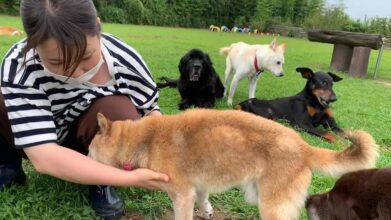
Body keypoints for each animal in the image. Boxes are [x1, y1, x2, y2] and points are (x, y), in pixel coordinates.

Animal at [89, 109, 380, 219]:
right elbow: (204, 198)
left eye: (90, 149)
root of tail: (303, 146)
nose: (85, 155)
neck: (144, 140)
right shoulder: (197, 185)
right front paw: (207, 210)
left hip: (271, 206)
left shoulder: (181, 196)